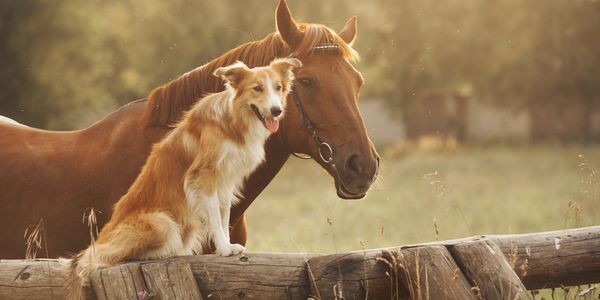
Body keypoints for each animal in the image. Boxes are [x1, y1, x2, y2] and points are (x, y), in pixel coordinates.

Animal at [63, 57, 302, 298]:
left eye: (278, 87)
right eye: (257, 88)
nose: (277, 110)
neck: (233, 121)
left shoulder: (226, 181)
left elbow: (224, 215)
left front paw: (227, 245)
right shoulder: (204, 178)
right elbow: (215, 217)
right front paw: (224, 248)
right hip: (162, 223)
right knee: (101, 257)